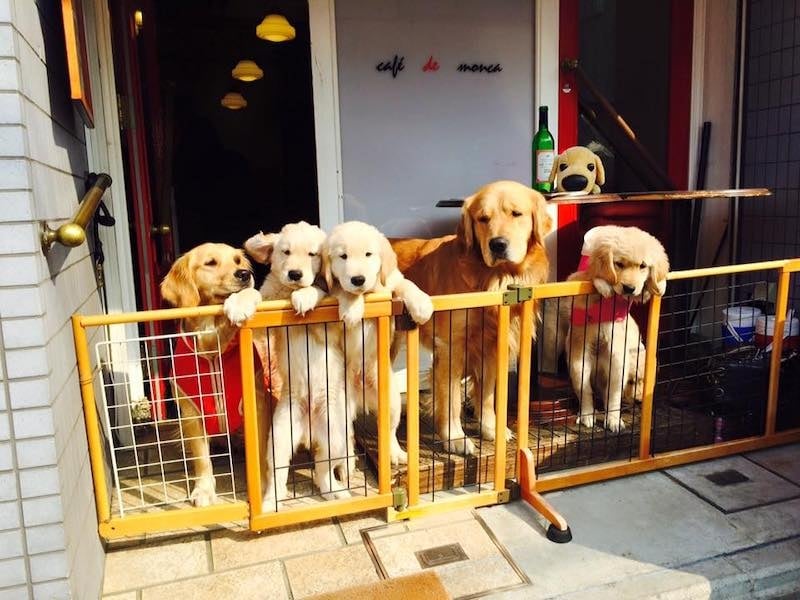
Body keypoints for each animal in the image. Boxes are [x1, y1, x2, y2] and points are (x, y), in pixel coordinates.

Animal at [161, 244, 270, 506]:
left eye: (238, 260)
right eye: (211, 263)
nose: (244, 274)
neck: (213, 349)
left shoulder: (257, 403)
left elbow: (260, 449)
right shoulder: (191, 412)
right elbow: (201, 458)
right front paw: (204, 490)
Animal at [223, 223, 352, 508]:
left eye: (313, 254)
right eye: (286, 252)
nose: (295, 274)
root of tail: (308, 432)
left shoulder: (329, 326)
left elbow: (318, 289)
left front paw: (305, 295)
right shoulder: (265, 325)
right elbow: (252, 292)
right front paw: (237, 304)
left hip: (335, 435)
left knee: (323, 469)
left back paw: (336, 491)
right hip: (280, 436)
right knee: (279, 474)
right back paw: (271, 501)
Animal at [320, 223, 434, 466]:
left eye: (368, 254)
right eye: (343, 256)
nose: (358, 279)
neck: (369, 291)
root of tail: (359, 398)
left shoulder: (393, 281)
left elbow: (407, 284)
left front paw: (421, 305)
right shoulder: (332, 289)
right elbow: (342, 290)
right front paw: (352, 308)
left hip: (391, 400)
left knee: (388, 430)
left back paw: (395, 454)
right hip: (337, 408)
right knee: (344, 436)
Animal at [390, 180, 552, 452]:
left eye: (516, 214)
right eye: (483, 219)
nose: (497, 244)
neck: (494, 278)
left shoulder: (491, 346)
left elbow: (487, 395)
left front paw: (491, 429)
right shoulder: (450, 347)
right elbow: (451, 399)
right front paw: (455, 438)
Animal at [564, 225, 668, 432]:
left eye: (643, 266)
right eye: (618, 264)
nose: (629, 288)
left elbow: (647, 288)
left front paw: (660, 283)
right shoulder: (575, 285)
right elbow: (591, 277)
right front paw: (604, 283)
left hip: (619, 362)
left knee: (611, 396)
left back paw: (613, 419)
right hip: (579, 364)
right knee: (586, 392)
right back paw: (587, 416)